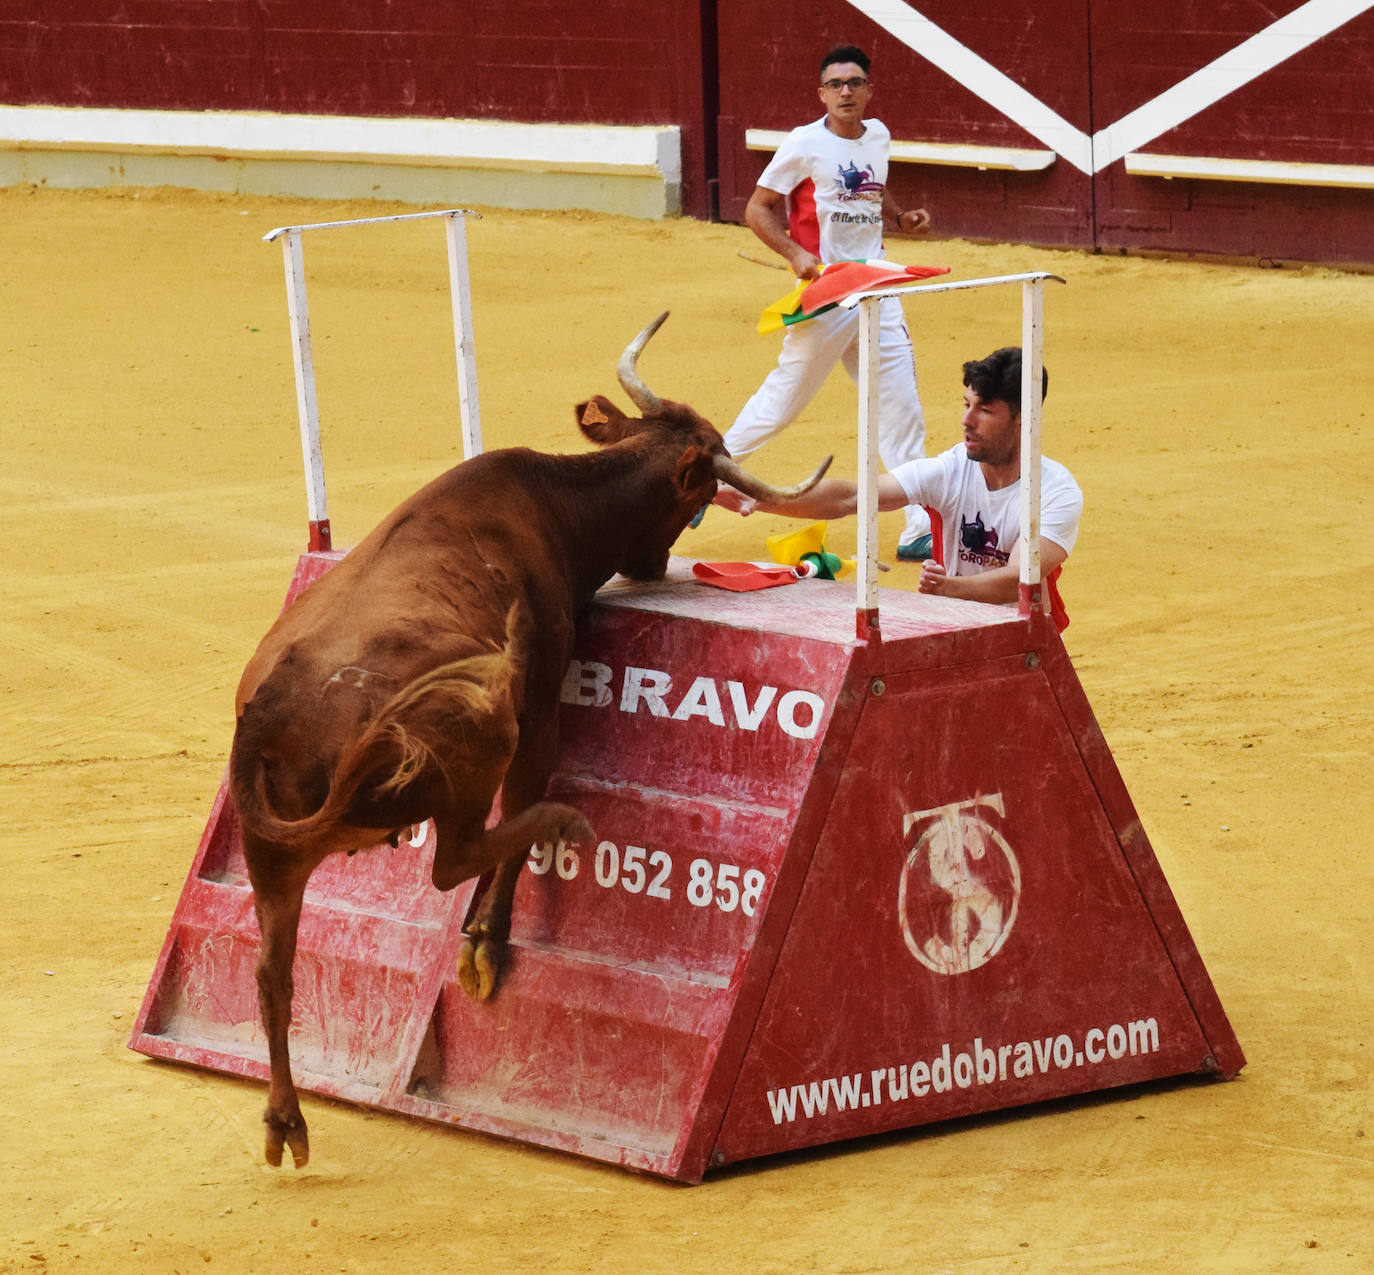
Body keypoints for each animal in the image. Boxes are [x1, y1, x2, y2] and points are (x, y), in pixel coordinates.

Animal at [228, 313, 824, 1170]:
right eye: (705, 492)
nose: (654, 564)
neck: (557, 504)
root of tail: (269, 718)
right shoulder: (541, 709)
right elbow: (518, 810)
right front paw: (486, 940)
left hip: (270, 859)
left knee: (272, 973)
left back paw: (286, 1119)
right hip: (476, 738)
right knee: (458, 852)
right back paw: (557, 828)